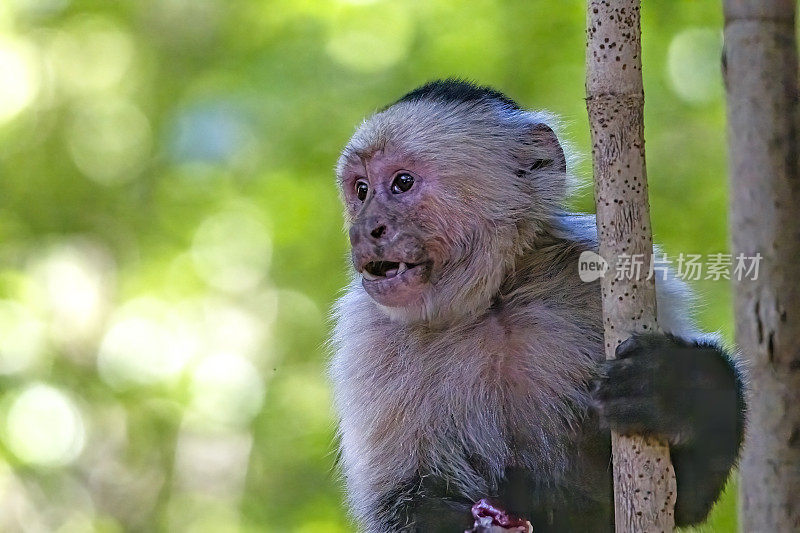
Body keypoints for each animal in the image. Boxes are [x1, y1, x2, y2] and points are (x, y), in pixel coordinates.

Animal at [328, 80, 748, 532]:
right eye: (361, 191)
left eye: (402, 183)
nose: (365, 229)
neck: (493, 302)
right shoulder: (367, 334)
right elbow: (404, 501)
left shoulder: (590, 270)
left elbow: (683, 499)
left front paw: (677, 389)